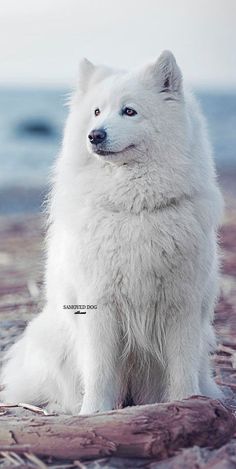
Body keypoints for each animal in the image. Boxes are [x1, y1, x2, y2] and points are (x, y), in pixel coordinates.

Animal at [0, 51, 224, 414]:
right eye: (96, 112)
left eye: (129, 111)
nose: (95, 135)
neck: (134, 206)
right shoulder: (99, 306)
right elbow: (100, 368)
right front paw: (94, 412)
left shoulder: (182, 306)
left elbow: (182, 365)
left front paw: (187, 401)